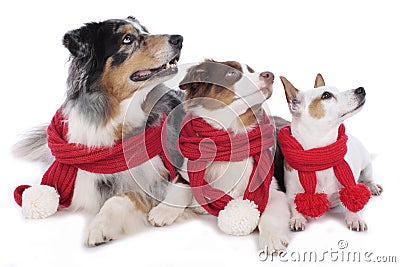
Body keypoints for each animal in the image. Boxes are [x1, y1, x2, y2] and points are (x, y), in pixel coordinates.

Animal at [12, 16, 188, 247]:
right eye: (127, 39)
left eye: (146, 31)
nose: (179, 39)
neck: (114, 117)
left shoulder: (156, 177)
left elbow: (120, 197)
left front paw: (100, 227)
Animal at [280, 74, 382, 233]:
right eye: (326, 95)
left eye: (336, 90)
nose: (361, 89)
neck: (320, 155)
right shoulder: (291, 193)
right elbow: (295, 206)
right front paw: (298, 218)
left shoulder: (349, 184)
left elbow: (353, 196)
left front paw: (355, 218)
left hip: (366, 165)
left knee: (367, 177)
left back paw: (372, 186)